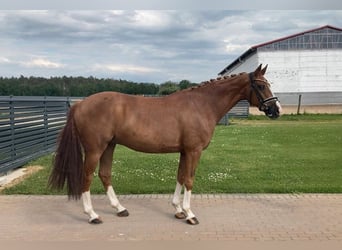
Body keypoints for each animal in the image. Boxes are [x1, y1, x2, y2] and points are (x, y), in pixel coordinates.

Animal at [49, 64, 282, 225]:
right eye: (261, 85)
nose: (276, 110)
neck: (201, 104)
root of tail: (80, 104)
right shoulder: (194, 151)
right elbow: (189, 180)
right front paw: (190, 214)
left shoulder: (184, 152)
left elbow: (180, 176)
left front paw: (178, 210)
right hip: (95, 149)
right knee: (87, 177)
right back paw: (92, 215)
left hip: (109, 146)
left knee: (105, 175)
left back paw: (120, 209)